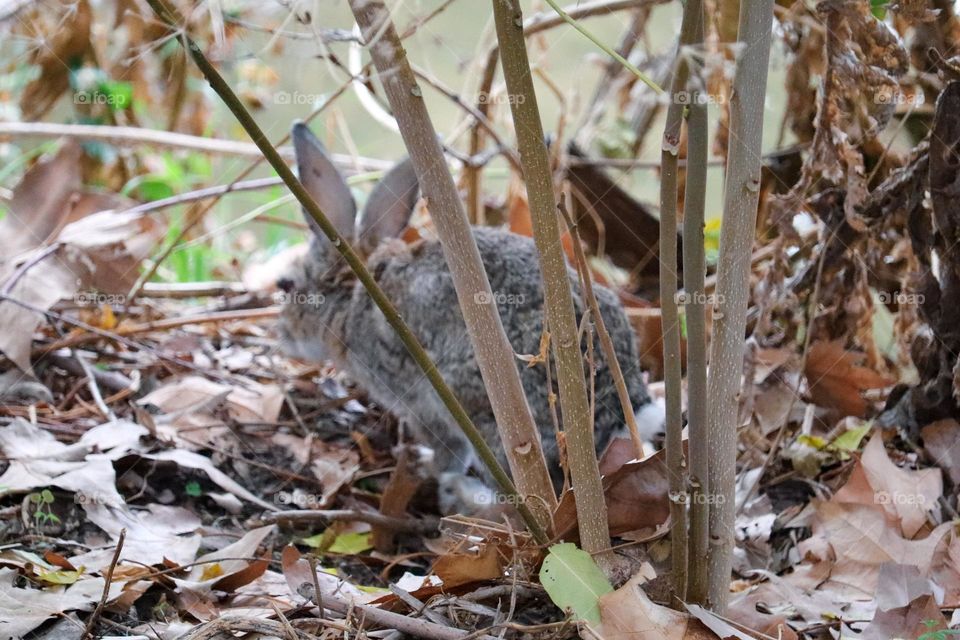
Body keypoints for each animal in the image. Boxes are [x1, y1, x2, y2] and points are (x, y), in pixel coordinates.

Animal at [278, 122, 664, 516]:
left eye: (285, 285)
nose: (281, 334)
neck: (355, 291)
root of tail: (621, 417)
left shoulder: (424, 404)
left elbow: (447, 450)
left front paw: (424, 465)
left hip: (486, 414)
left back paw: (459, 495)